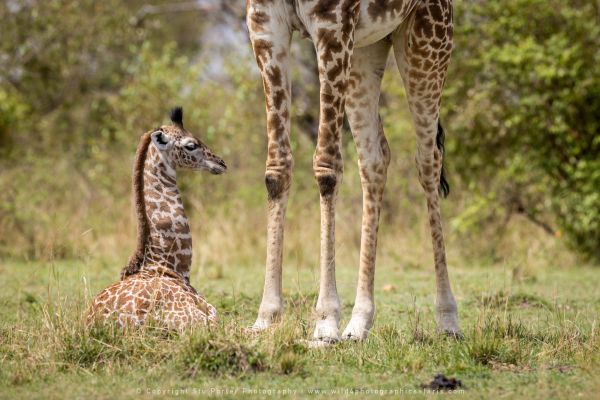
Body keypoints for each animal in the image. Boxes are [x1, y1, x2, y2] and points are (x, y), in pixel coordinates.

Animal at [246, 0, 462, 344]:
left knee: (428, 160)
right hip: (366, 48)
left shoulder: (332, 26)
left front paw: (325, 321)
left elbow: (326, 166)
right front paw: (266, 317)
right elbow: (276, 169)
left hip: (427, 40)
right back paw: (359, 323)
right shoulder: (264, 24)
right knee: (374, 158)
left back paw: (448, 319)